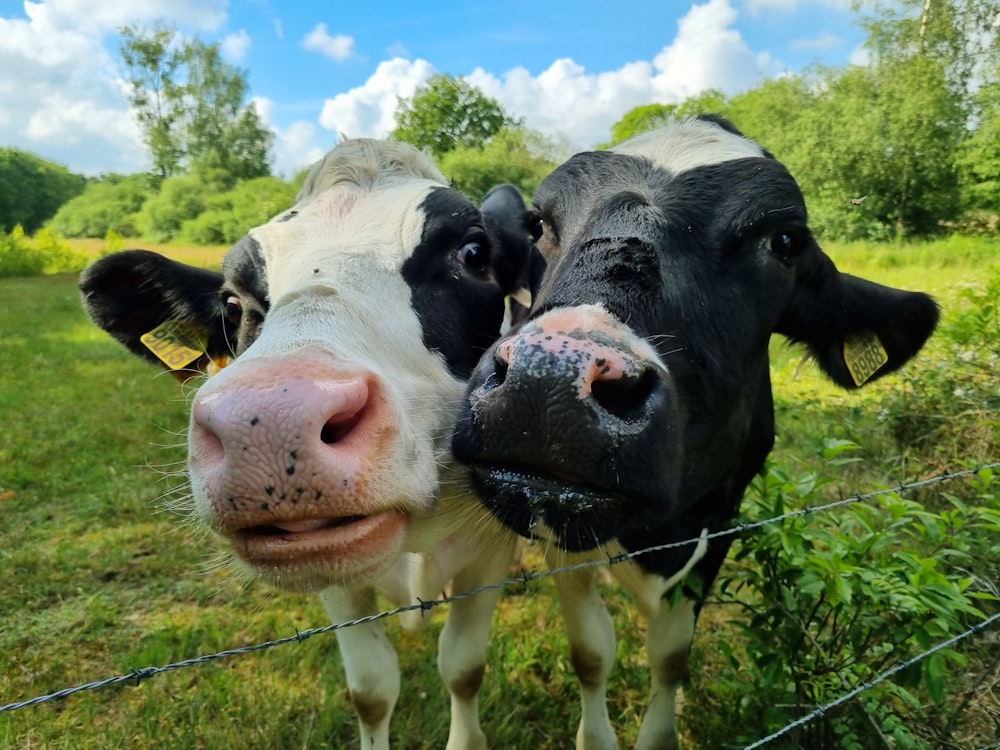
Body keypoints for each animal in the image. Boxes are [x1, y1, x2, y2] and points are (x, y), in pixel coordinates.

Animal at [82, 140, 544, 750]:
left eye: (472, 253)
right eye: (233, 303)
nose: (270, 423)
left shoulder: (488, 552)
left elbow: (463, 668)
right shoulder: (339, 588)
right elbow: (371, 690)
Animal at [454, 114, 936, 748]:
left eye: (784, 242)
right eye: (539, 224)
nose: (548, 380)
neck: (658, 537)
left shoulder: (720, 516)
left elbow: (671, 658)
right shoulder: (553, 518)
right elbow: (591, 653)